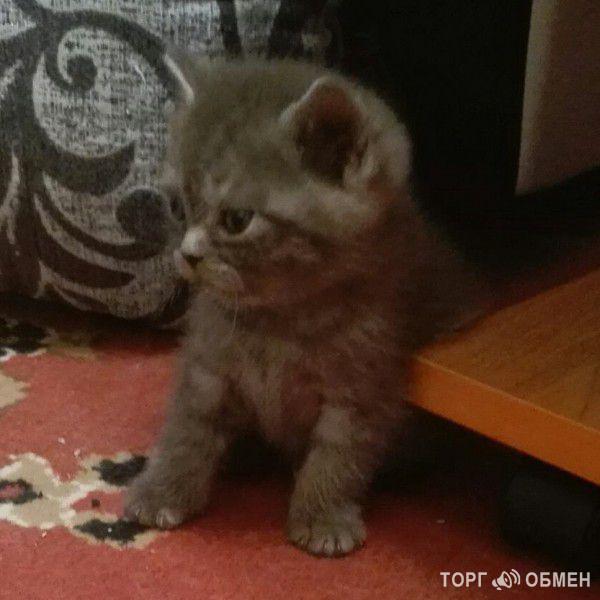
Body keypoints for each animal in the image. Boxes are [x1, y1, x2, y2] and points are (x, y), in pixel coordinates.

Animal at [124, 54, 483, 557]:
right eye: (178, 207)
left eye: (237, 220)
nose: (188, 254)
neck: (279, 321)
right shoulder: (206, 365)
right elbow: (186, 426)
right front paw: (162, 489)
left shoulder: (365, 385)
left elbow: (339, 456)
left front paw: (322, 516)